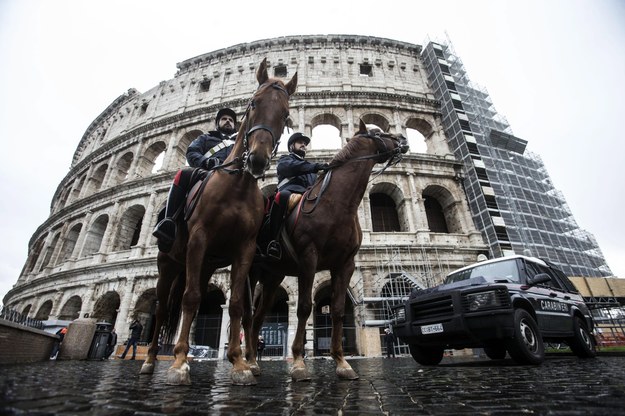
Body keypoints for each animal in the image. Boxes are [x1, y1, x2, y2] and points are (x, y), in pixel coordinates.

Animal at [141, 57, 298, 386]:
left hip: (205, 265)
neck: (235, 188)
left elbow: (236, 303)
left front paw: (239, 363)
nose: (258, 159)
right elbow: (189, 300)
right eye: (252, 103)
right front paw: (178, 364)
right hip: (168, 264)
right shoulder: (199, 240)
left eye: (285, 114)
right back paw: (151, 360)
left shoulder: (245, 250)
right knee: (163, 308)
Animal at [241, 119, 408, 380]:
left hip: (273, 277)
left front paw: (341, 362)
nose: (403, 140)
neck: (336, 204)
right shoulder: (308, 260)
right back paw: (247, 362)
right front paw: (299, 363)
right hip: (252, 272)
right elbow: (304, 308)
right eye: (377, 133)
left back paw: (254, 363)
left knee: (259, 317)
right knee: (247, 314)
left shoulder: (345, 264)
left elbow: (338, 310)